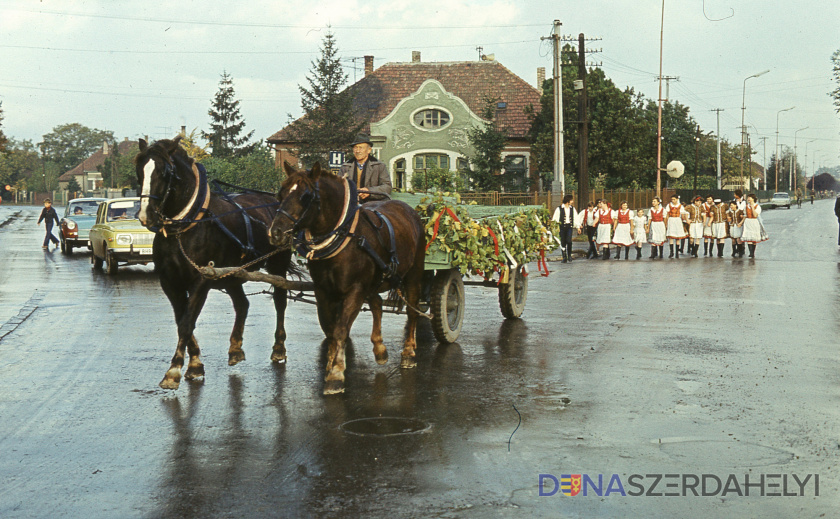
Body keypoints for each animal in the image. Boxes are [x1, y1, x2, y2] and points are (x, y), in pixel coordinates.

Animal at [135, 138, 296, 390]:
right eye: (139, 171)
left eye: (164, 172)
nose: (146, 215)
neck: (184, 228)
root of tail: (276, 201)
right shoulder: (170, 282)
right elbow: (182, 320)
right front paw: (195, 365)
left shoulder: (201, 280)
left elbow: (186, 323)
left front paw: (173, 371)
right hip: (232, 274)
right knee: (242, 304)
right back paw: (235, 348)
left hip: (278, 263)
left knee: (280, 301)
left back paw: (278, 348)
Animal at [270, 162, 426, 394]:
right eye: (280, 193)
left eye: (306, 196)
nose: (276, 233)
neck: (343, 236)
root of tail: (408, 209)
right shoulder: (323, 290)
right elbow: (330, 328)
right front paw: (331, 365)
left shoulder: (355, 290)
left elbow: (341, 329)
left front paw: (335, 375)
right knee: (377, 303)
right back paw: (380, 348)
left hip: (413, 274)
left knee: (412, 311)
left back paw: (408, 352)